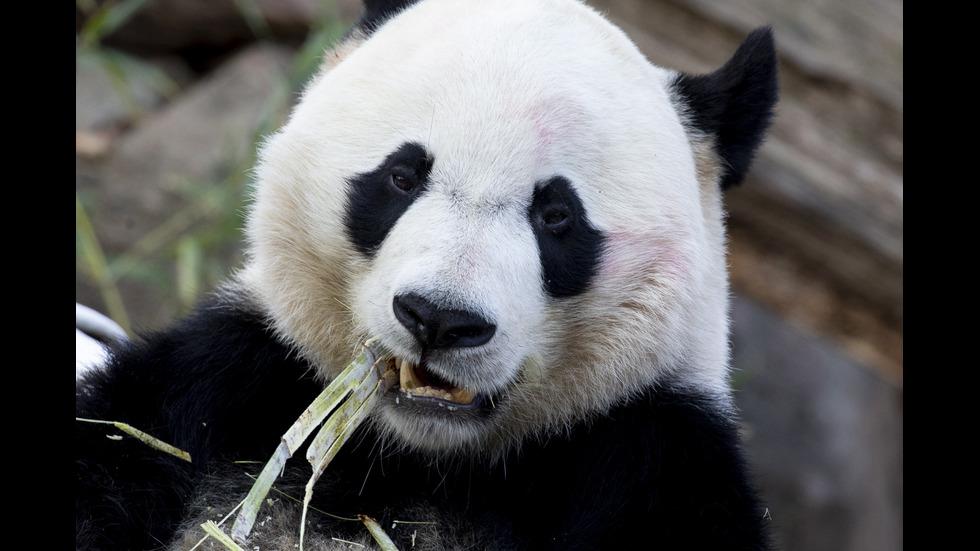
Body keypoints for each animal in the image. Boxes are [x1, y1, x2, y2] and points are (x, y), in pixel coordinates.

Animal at [74, 0, 780, 548]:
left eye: (556, 215)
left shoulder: (648, 452)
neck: (415, 458)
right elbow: (120, 444)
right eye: (402, 176)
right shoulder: (233, 376)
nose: (440, 319)